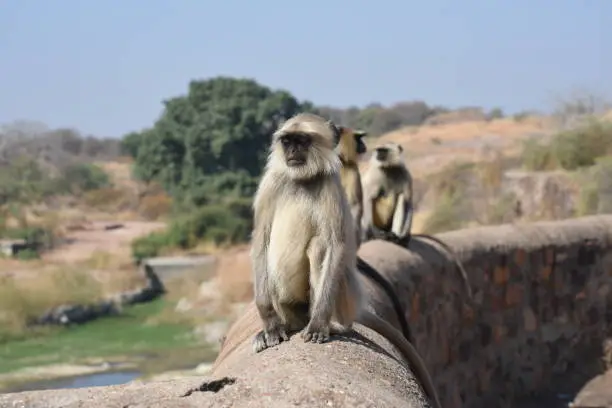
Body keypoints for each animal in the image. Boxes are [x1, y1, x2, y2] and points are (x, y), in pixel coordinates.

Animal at [251, 112, 442, 408]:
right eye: (287, 141)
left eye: (301, 141)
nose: (292, 152)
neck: (302, 180)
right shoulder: (270, 183)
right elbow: (261, 240)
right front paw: (269, 325)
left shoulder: (331, 184)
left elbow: (334, 245)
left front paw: (319, 324)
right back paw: (285, 325)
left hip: (344, 298)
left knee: (320, 247)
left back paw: (330, 324)